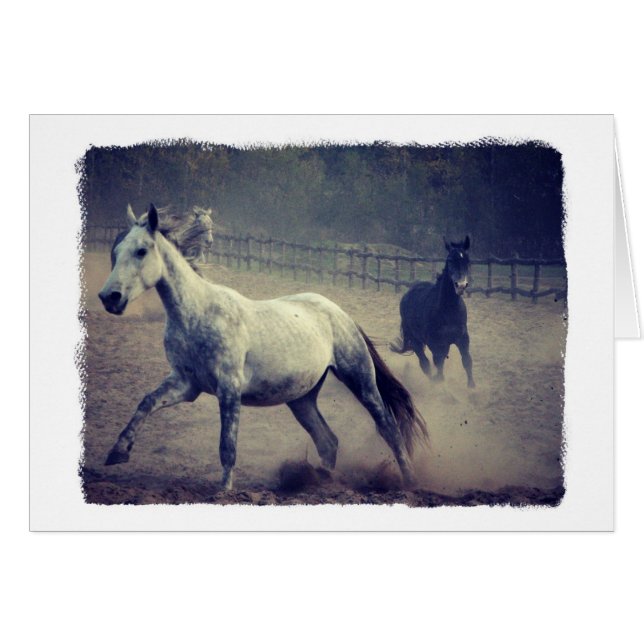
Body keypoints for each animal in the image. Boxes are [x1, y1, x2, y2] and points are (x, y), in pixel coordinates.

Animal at [98, 204, 428, 490]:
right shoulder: (185, 383)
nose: (109, 297)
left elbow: (227, 445)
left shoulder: (229, 388)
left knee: (388, 428)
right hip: (302, 398)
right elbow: (146, 403)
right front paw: (117, 452)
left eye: (141, 251)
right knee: (328, 441)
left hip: (360, 380)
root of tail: (340, 313)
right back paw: (319, 481)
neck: (198, 314)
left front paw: (224, 489)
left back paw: (410, 481)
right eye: (116, 251)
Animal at [391, 236, 475, 388]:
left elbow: (467, 360)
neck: (448, 310)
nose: (460, 285)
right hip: (415, 340)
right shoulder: (435, 343)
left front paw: (472, 387)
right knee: (425, 363)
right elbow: (438, 364)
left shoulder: (463, 338)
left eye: (467, 260)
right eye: (450, 260)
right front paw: (439, 386)